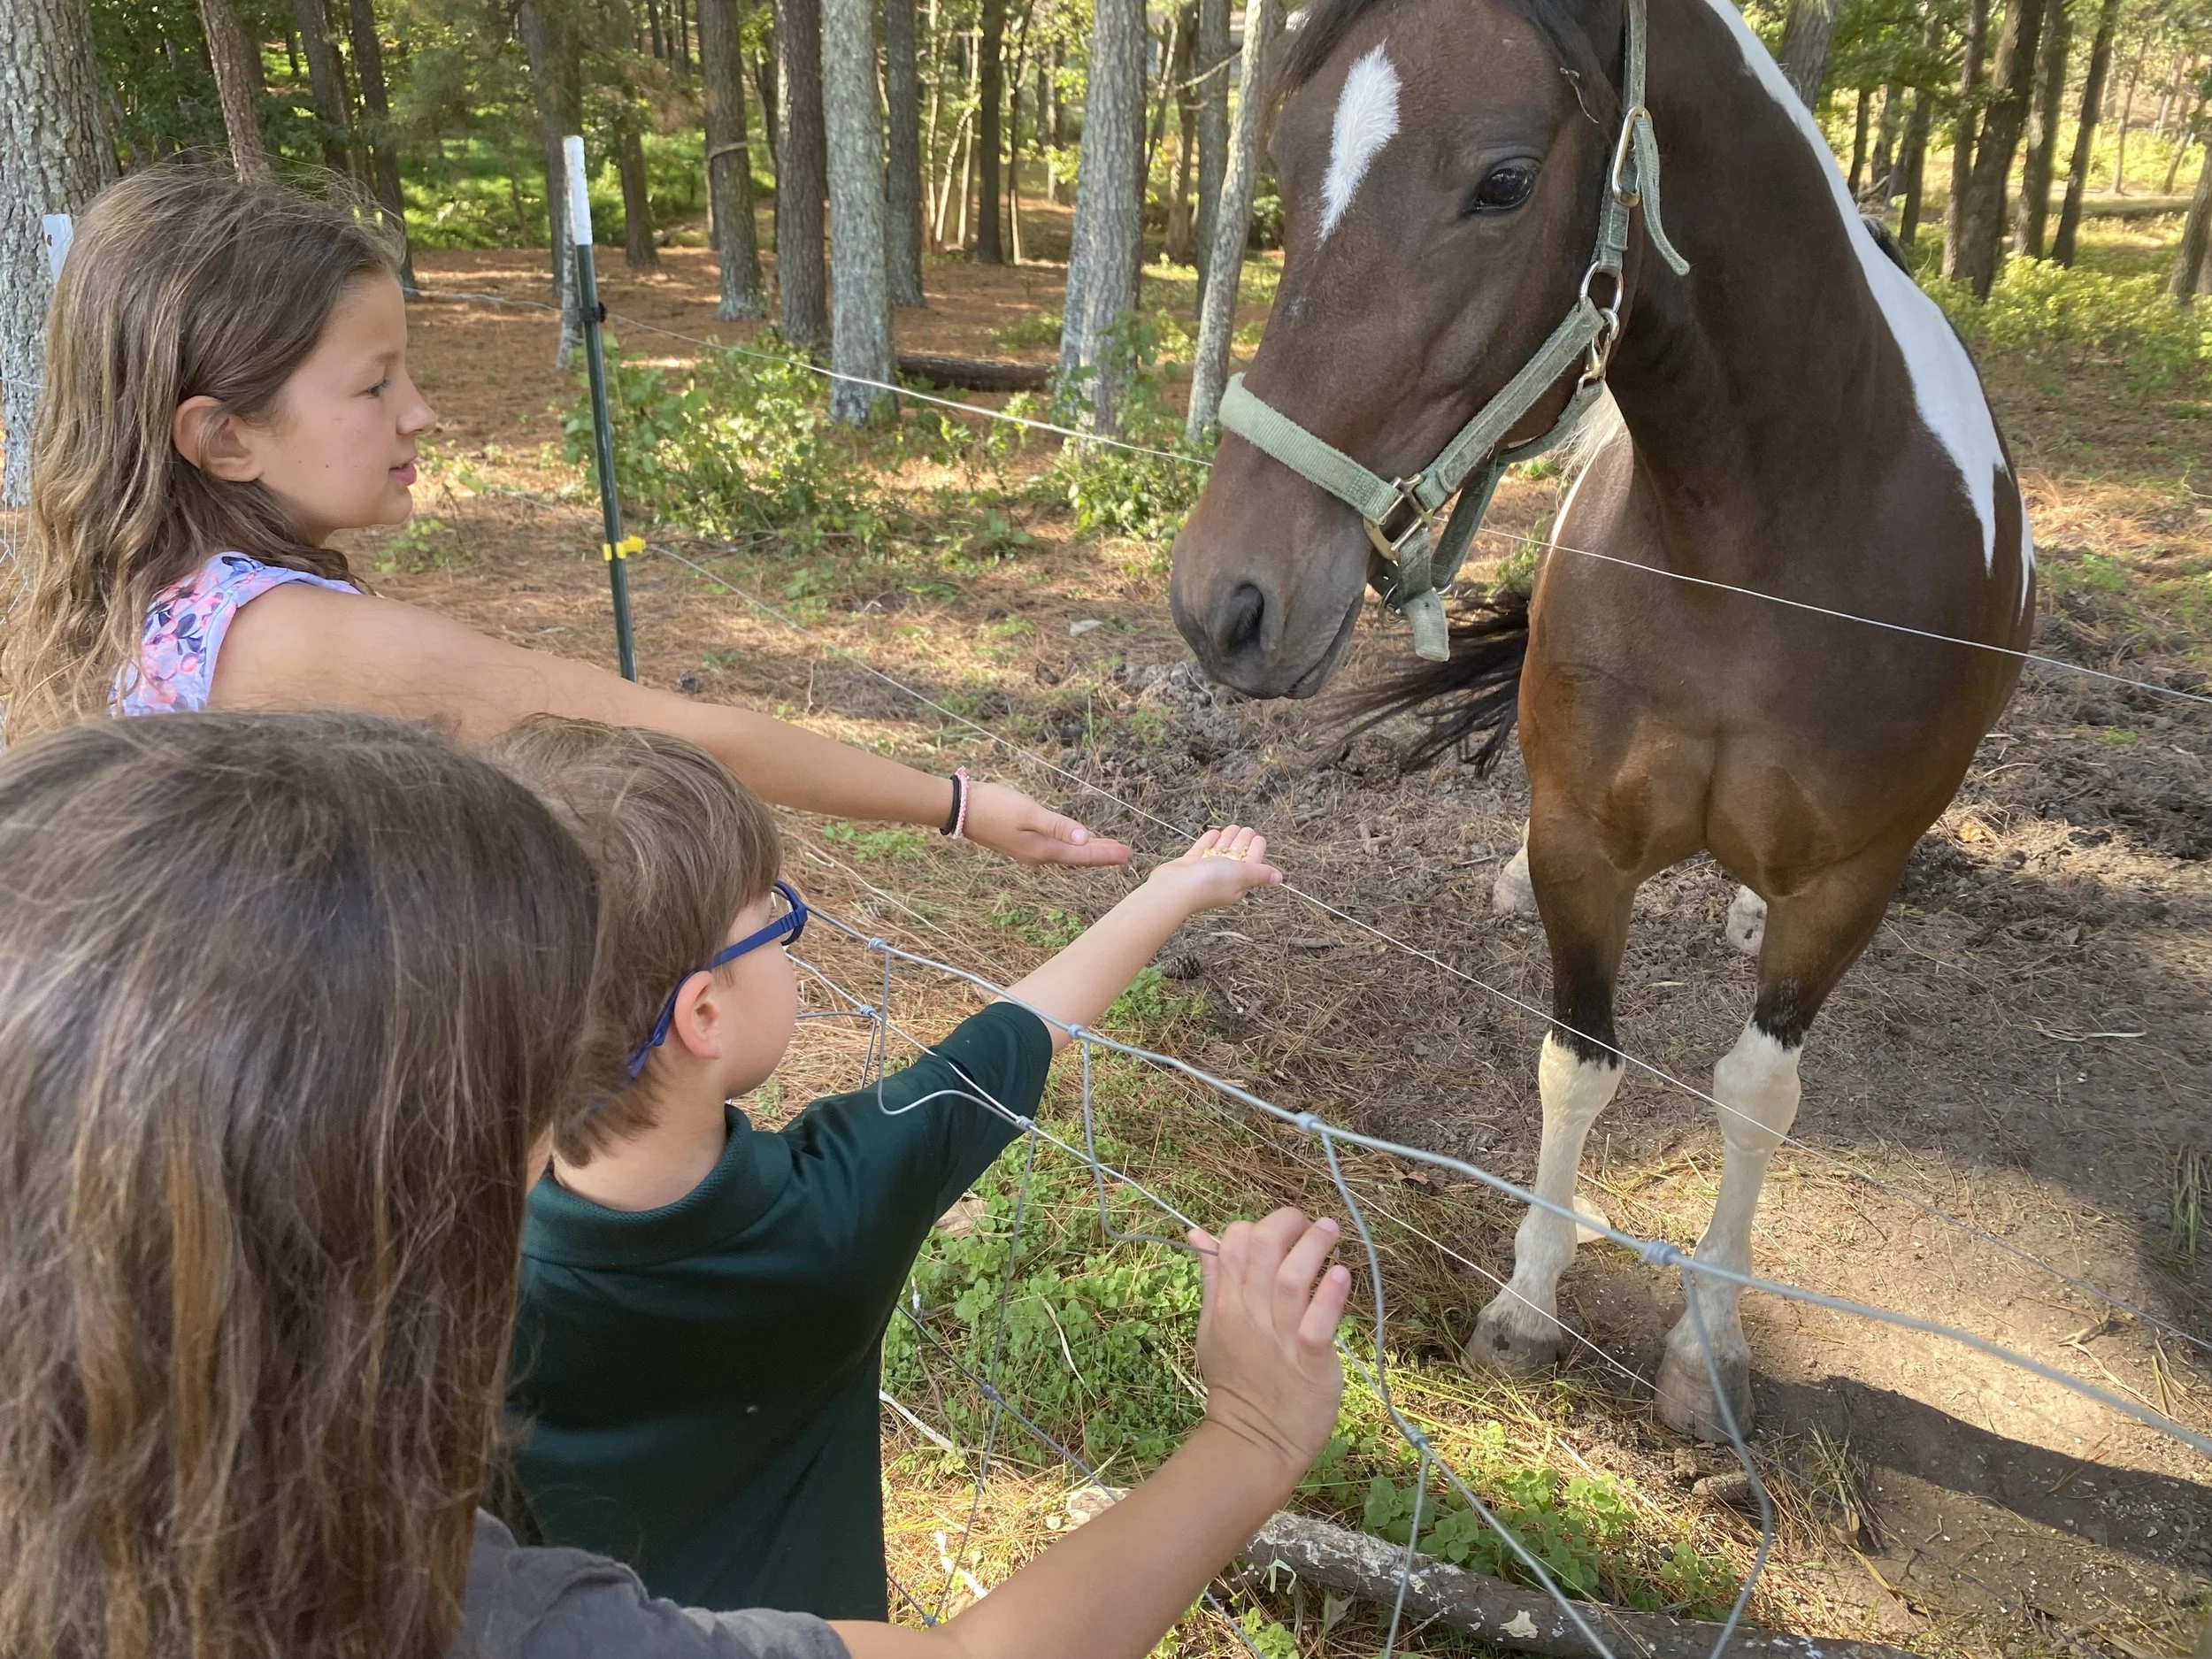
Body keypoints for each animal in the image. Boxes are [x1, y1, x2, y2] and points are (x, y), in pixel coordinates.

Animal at [1168, 0, 2033, 1437]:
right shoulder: (1584, 838)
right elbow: (1577, 1062)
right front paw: (1525, 1305)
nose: (1224, 600)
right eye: (1285, 163)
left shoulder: (1845, 885)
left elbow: (1757, 1093)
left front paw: (1707, 1346)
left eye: (1503, 181)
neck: (1758, 552)